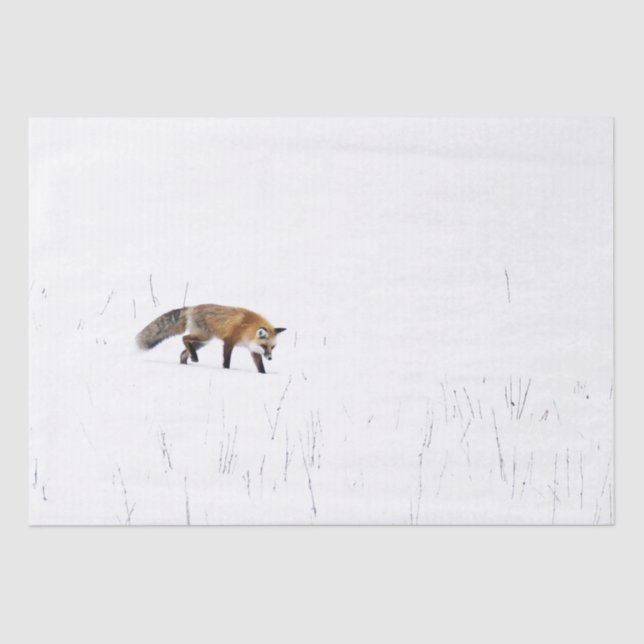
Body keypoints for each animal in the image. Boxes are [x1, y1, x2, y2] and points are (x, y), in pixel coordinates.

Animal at [136, 304, 286, 374]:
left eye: (272, 347)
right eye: (264, 346)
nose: (270, 358)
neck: (246, 328)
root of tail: (191, 308)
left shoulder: (253, 349)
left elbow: (260, 366)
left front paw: (264, 375)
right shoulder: (229, 341)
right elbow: (226, 361)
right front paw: (226, 371)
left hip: (203, 342)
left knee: (183, 352)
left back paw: (187, 362)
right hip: (204, 336)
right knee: (184, 338)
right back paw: (194, 358)